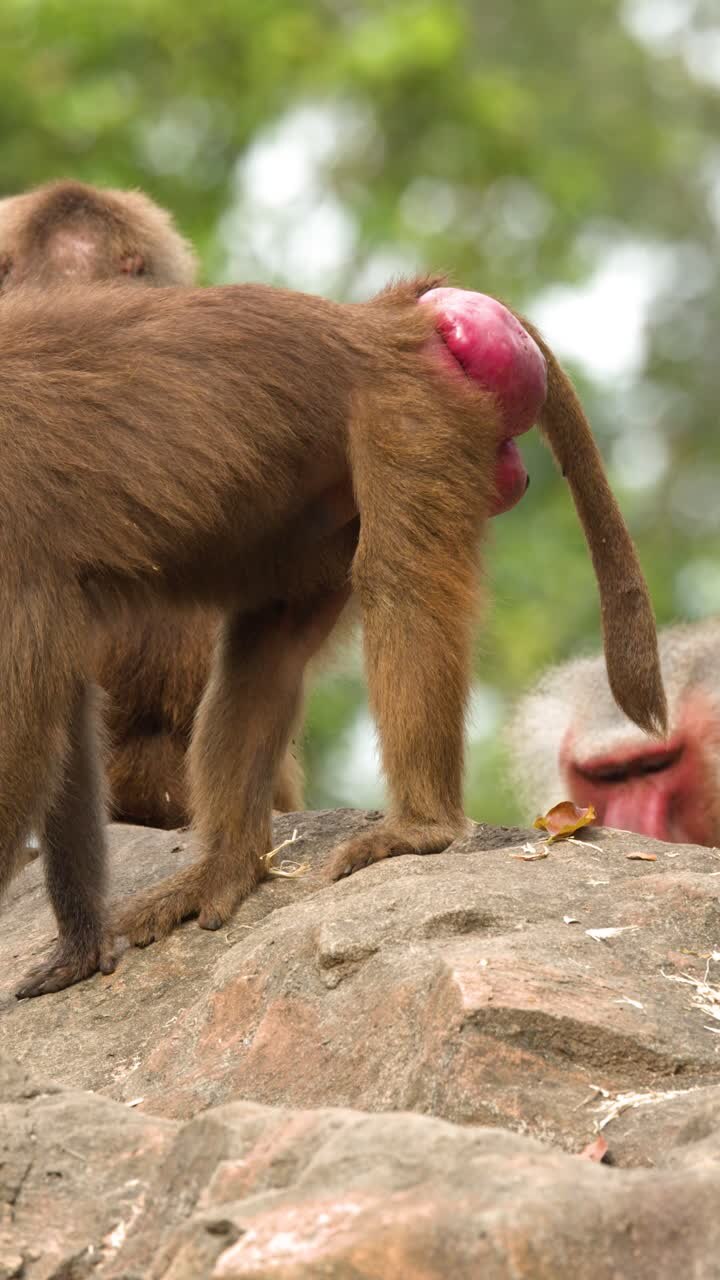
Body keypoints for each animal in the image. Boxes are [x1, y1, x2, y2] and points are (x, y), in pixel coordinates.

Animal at [0, 273, 666, 999]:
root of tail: (378, 318)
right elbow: (61, 713)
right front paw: (80, 950)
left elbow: (27, 733)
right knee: (271, 645)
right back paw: (227, 868)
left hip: (411, 415)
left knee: (399, 582)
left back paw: (421, 830)